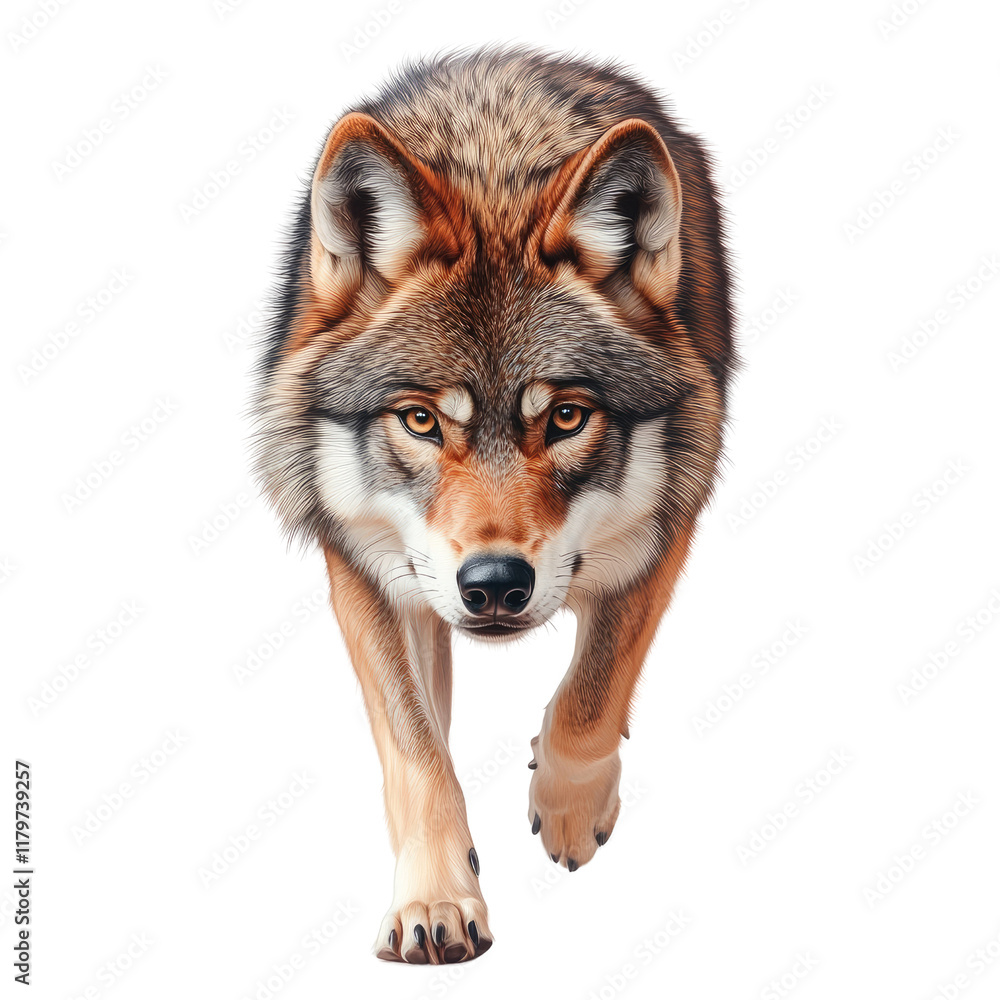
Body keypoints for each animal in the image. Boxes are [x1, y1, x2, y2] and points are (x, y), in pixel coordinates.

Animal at [253, 46, 734, 964]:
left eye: (567, 416)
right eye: (421, 420)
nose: (496, 584)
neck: (496, 163)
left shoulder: (667, 525)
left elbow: (593, 693)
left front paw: (569, 807)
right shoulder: (363, 567)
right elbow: (417, 752)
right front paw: (435, 902)